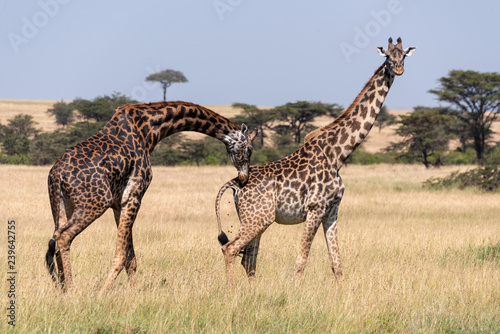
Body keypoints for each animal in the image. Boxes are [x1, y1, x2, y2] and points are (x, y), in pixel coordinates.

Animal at [44, 100, 256, 294]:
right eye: (250, 149)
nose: (243, 178)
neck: (150, 129)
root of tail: (57, 174)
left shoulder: (118, 204)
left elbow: (130, 257)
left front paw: (134, 294)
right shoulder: (134, 195)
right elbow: (122, 255)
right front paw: (102, 293)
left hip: (62, 205)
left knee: (56, 239)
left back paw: (62, 291)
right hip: (95, 203)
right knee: (64, 236)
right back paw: (72, 292)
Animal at [214, 37, 414, 286]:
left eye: (403, 55)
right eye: (387, 56)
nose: (398, 68)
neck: (338, 154)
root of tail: (234, 182)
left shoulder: (332, 210)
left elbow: (337, 263)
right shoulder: (315, 208)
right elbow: (301, 260)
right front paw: (294, 292)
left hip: (254, 218)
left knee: (248, 259)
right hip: (258, 219)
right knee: (231, 249)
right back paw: (231, 290)